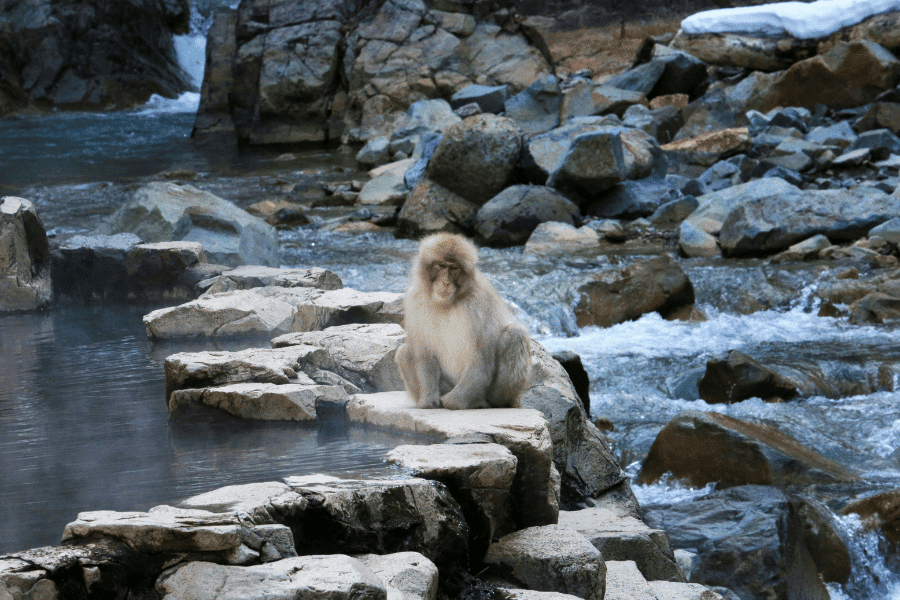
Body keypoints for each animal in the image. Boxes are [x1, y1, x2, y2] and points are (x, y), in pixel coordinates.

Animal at [395, 232, 532, 410]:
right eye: (441, 266)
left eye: (454, 268)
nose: (445, 282)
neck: (446, 304)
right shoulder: (414, 300)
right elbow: (424, 354)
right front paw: (427, 400)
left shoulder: (479, 302)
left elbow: (480, 360)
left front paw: (454, 402)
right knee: (403, 352)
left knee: (516, 333)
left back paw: (488, 403)